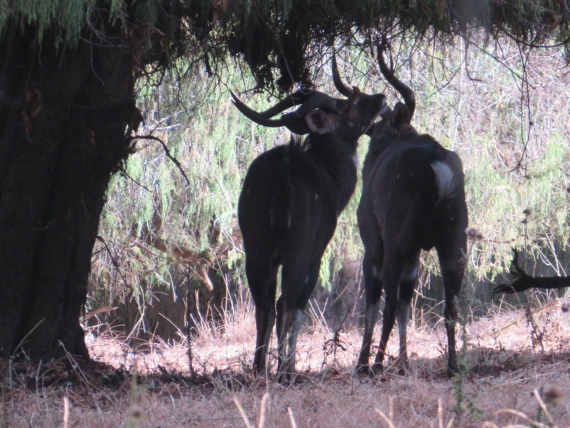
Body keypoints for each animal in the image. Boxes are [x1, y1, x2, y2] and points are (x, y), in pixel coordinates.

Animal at [352, 45, 468, 376]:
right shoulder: (416, 254)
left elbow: (373, 302)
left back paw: (376, 364)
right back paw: (452, 366)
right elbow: (407, 302)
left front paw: (362, 363)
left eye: (378, 133)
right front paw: (404, 362)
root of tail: (438, 170)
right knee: (451, 305)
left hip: (397, 240)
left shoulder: (373, 243)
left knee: (389, 302)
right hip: (455, 240)